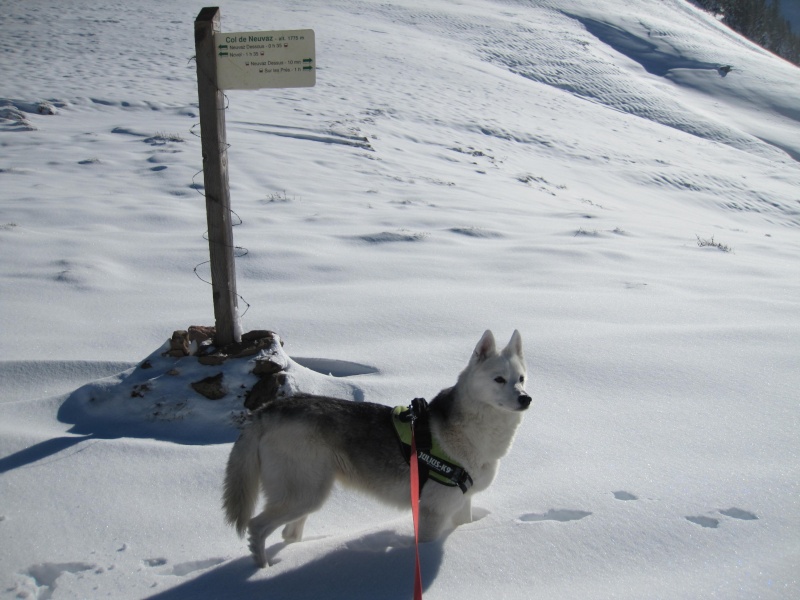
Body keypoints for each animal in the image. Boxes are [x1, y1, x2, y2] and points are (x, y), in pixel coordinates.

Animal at [222, 328, 532, 568]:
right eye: (499, 379)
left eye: (521, 379)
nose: (526, 399)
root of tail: (267, 409)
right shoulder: (431, 513)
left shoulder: (461, 504)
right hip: (304, 495)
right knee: (257, 527)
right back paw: (263, 569)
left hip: (308, 496)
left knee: (289, 534)